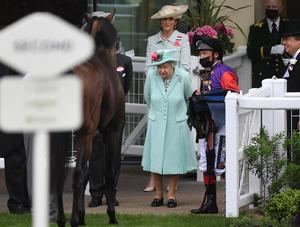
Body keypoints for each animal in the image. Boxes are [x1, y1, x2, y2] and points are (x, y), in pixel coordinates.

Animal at [52, 16, 125, 227]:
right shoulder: (112, 131)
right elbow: (107, 172)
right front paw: (111, 215)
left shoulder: (93, 136)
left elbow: (88, 174)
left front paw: (83, 215)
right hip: (85, 134)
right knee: (76, 174)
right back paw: (73, 220)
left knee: (60, 174)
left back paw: (62, 219)